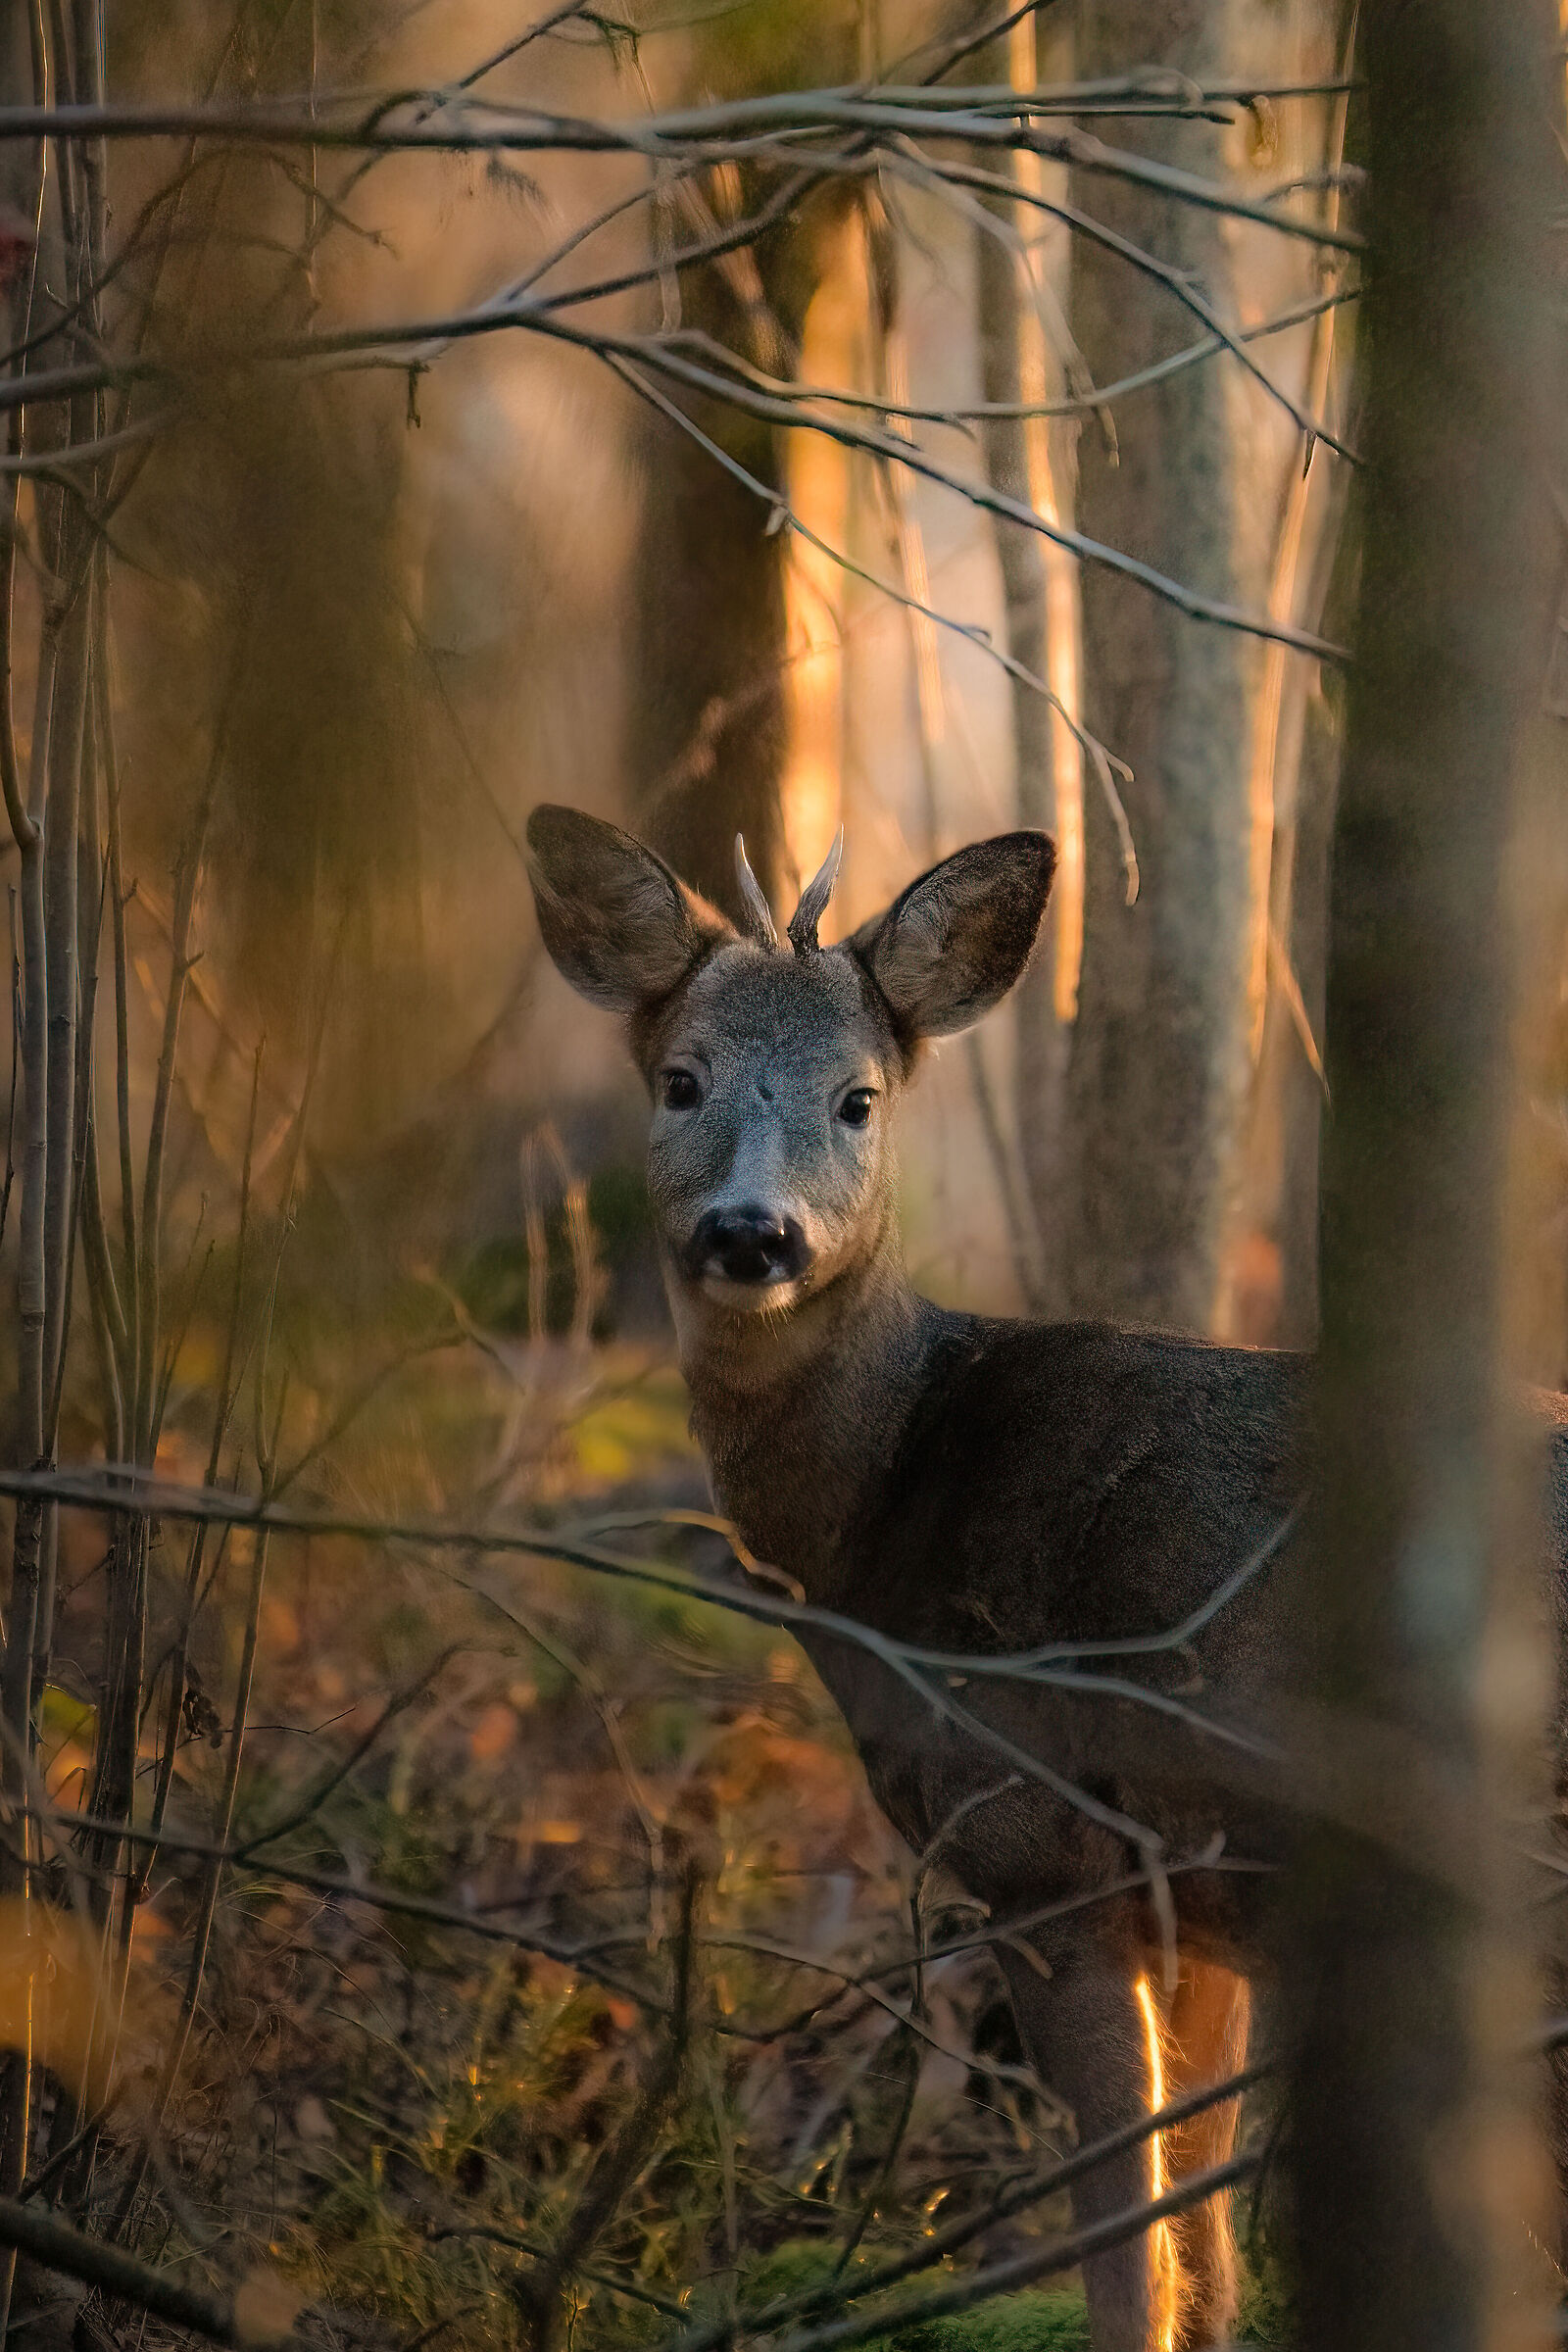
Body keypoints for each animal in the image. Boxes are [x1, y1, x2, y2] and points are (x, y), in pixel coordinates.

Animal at [523, 802, 1568, 2352]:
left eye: (858, 1099)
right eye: (679, 1079)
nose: (753, 1233)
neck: (882, 1512)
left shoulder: (1042, 1846)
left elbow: (1123, 2222)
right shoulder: (1202, 1889)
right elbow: (1202, 2224)